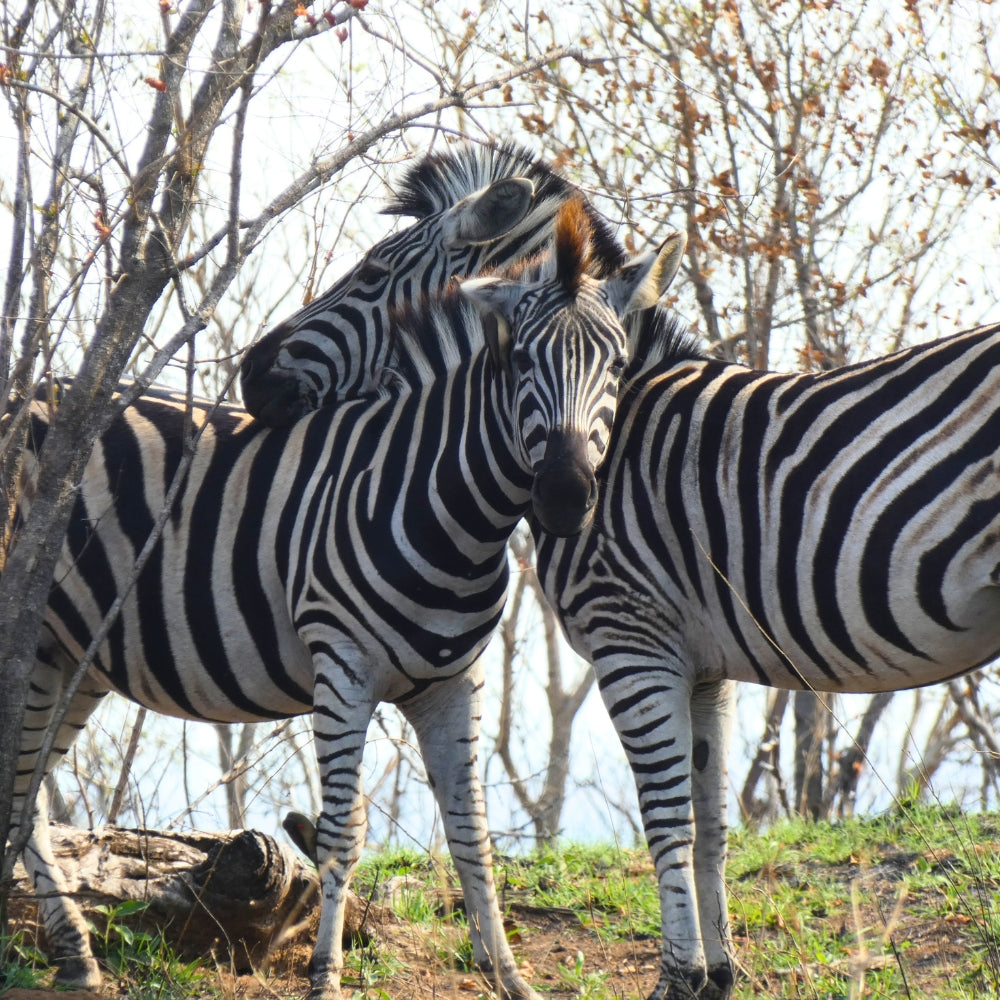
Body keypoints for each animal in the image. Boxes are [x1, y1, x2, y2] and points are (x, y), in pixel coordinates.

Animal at [11, 202, 686, 1000]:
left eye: (615, 367)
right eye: (522, 363)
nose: (564, 495)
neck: (450, 507)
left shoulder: (455, 683)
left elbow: (471, 828)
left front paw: (508, 976)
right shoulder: (342, 668)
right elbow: (341, 833)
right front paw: (325, 977)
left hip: (71, 656)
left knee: (24, 792)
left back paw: (74, 957)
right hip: (34, 640)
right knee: (22, 789)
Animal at [531, 310, 1000, 1000]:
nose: (566, 502)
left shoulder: (630, 639)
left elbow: (665, 821)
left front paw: (678, 979)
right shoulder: (702, 670)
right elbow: (710, 820)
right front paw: (718, 975)